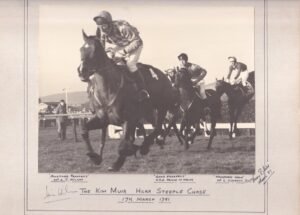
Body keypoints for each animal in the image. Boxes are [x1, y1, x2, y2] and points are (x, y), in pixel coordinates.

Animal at [77, 30, 177, 171]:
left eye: (96, 50)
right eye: (81, 49)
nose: (81, 71)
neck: (108, 91)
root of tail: (164, 75)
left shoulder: (129, 120)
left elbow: (124, 145)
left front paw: (118, 162)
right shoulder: (103, 120)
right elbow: (84, 130)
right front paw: (94, 157)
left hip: (162, 107)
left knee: (158, 128)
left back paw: (145, 146)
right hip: (149, 112)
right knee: (156, 128)